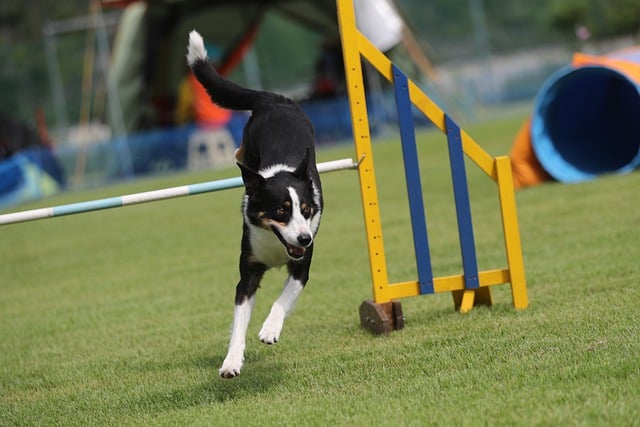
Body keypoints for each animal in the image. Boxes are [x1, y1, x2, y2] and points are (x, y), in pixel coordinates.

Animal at [188, 29, 322, 378]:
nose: (305, 238)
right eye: (280, 211)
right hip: (249, 141)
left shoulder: (302, 267)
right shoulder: (247, 274)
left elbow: (282, 299)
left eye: (306, 211)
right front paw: (231, 362)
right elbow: (238, 325)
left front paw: (270, 330)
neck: (277, 241)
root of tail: (273, 98)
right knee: (241, 155)